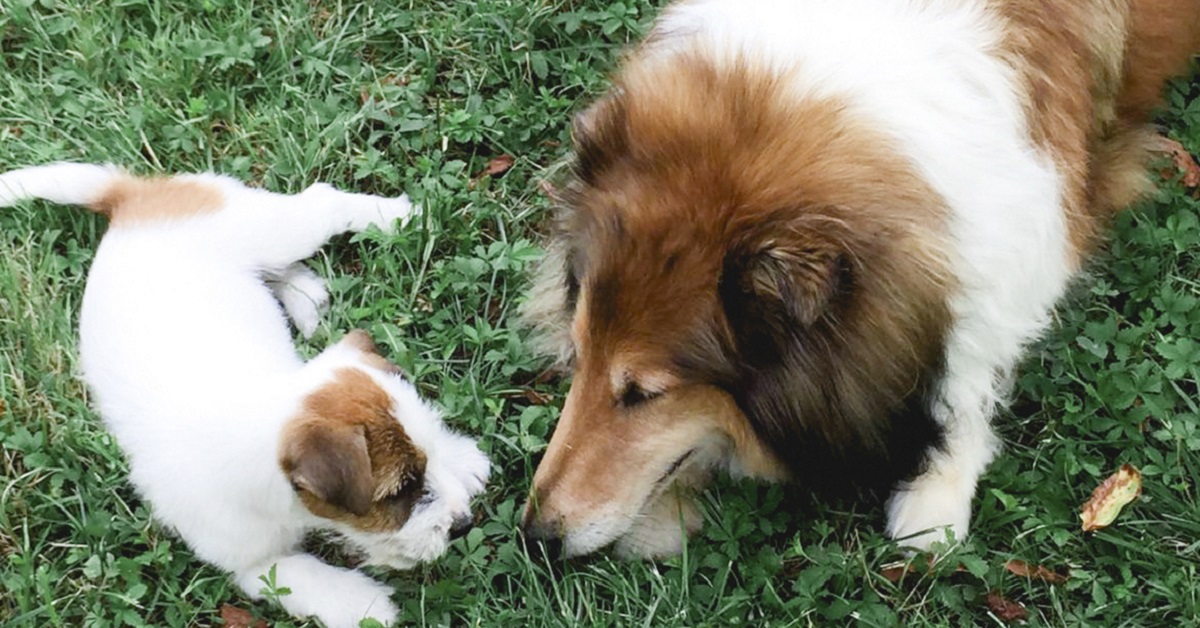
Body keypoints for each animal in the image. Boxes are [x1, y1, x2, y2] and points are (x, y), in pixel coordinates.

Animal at [0, 163, 492, 628]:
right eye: (401, 490)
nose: (464, 524)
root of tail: (131, 199)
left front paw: (458, 457)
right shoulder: (252, 562)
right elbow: (301, 578)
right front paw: (364, 604)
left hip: (276, 229)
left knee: (323, 201)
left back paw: (396, 217)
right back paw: (308, 294)